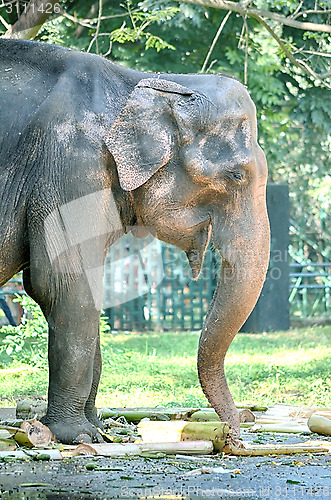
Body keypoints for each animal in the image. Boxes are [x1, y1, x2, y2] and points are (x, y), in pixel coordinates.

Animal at [0, 40, 270, 446]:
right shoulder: (70, 166)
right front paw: (76, 436)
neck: (141, 83)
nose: (237, 433)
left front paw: (97, 429)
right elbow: (64, 285)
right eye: (236, 175)